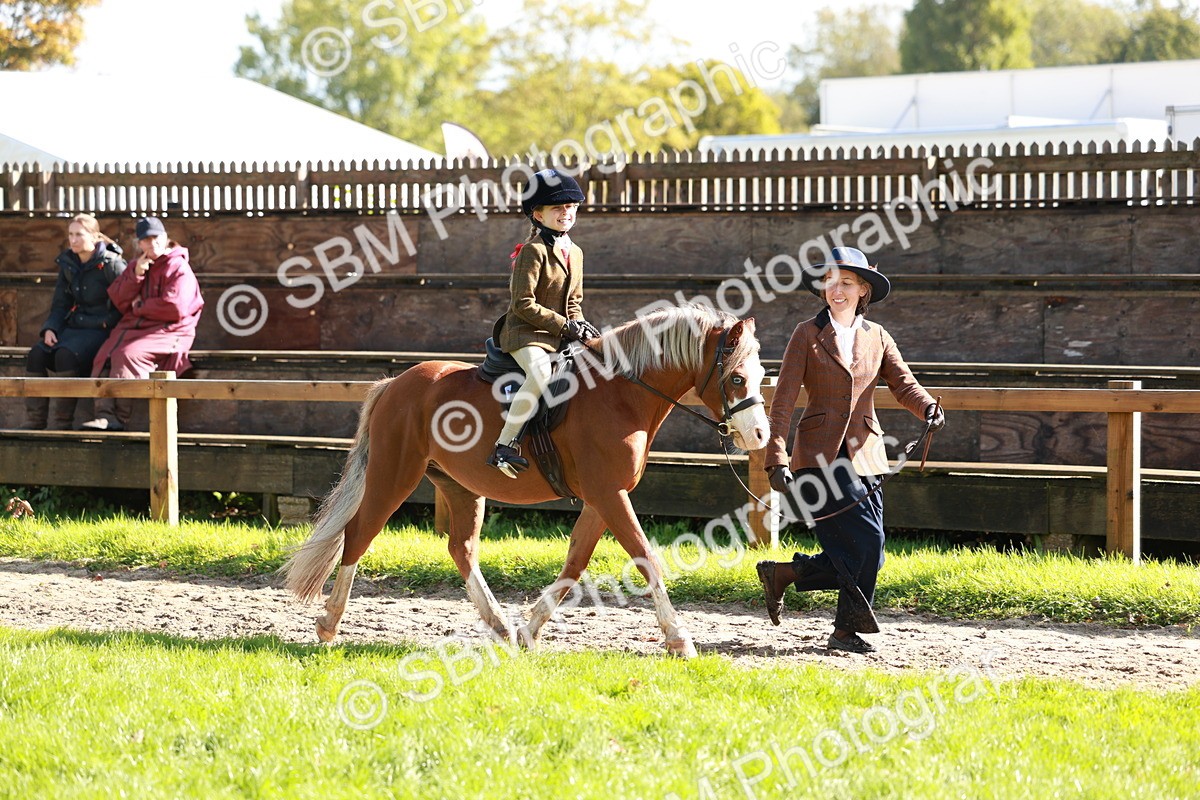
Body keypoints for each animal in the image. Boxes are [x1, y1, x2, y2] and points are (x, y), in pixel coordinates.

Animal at [281, 304, 770, 657]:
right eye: (737, 378)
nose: (761, 436)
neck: (621, 394)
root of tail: (397, 382)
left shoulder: (602, 498)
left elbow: (574, 563)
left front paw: (529, 631)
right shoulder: (610, 495)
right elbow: (646, 557)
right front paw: (679, 638)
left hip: (460, 486)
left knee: (461, 549)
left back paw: (499, 625)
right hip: (393, 476)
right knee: (358, 534)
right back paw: (329, 623)